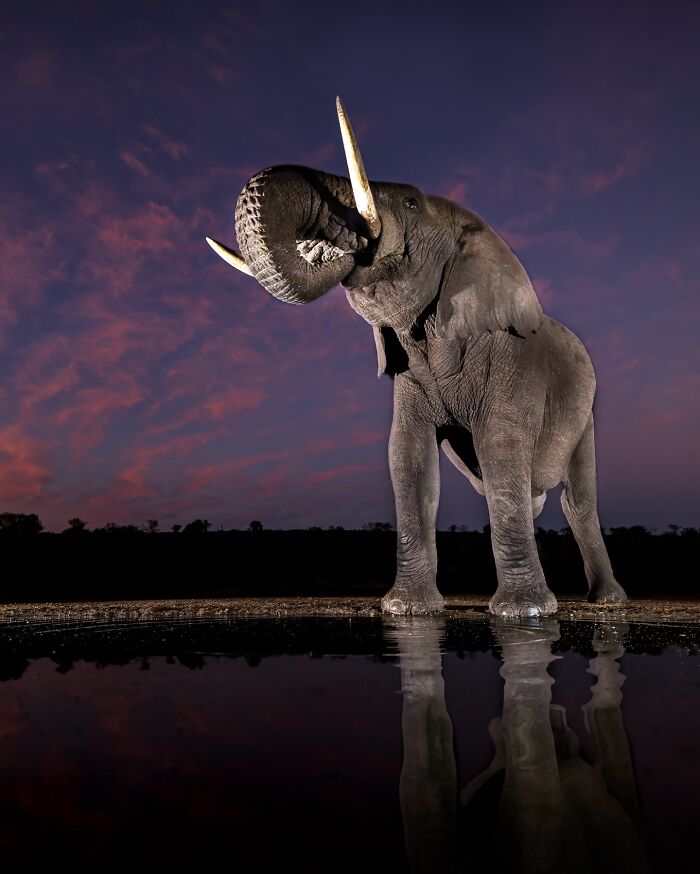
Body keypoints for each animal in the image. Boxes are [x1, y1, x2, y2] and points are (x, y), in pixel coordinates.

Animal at [205, 95, 628, 616]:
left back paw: (607, 603)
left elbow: (500, 448)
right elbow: (408, 457)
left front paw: (524, 612)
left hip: (586, 411)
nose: (328, 245)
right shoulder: (408, 371)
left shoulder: (512, 362)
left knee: (577, 498)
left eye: (410, 202)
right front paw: (407, 610)